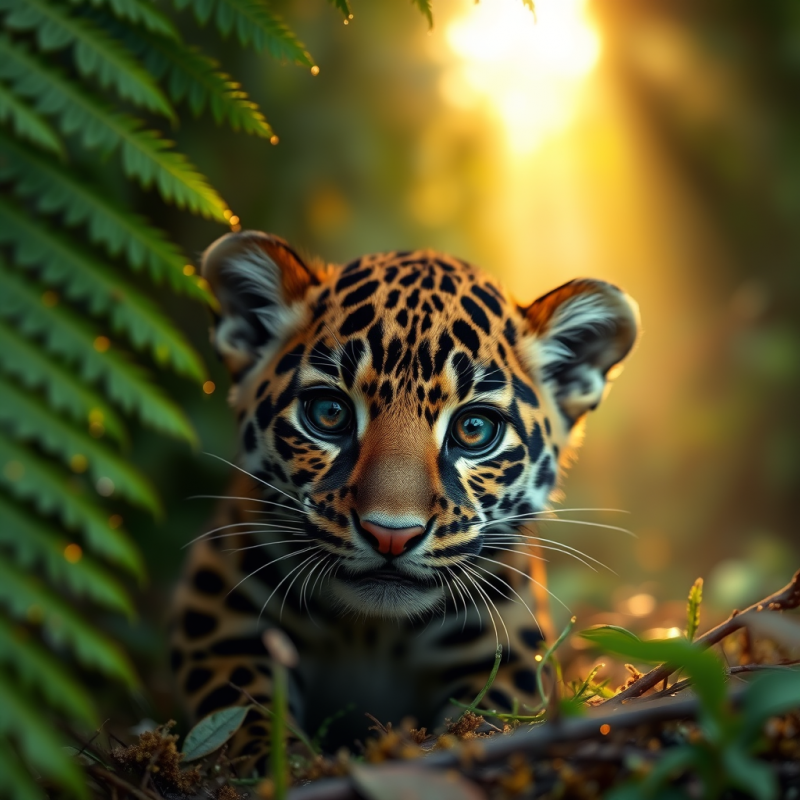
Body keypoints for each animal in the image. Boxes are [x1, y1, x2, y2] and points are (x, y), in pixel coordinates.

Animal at [170, 230, 639, 772]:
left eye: (473, 429)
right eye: (328, 413)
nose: (391, 535)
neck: (371, 632)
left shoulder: (506, 650)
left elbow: (491, 716)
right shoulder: (222, 622)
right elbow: (243, 709)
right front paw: (280, 765)